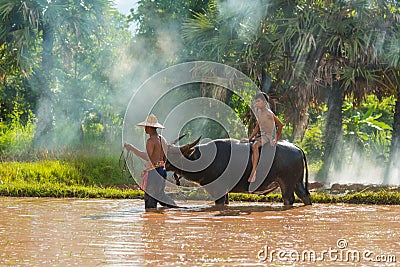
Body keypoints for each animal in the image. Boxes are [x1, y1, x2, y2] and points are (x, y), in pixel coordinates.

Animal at [166, 138, 312, 207]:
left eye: (174, 154)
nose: (163, 163)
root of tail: (297, 148)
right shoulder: (224, 192)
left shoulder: (218, 190)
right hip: (297, 182)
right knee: (305, 196)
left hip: (287, 183)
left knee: (289, 199)